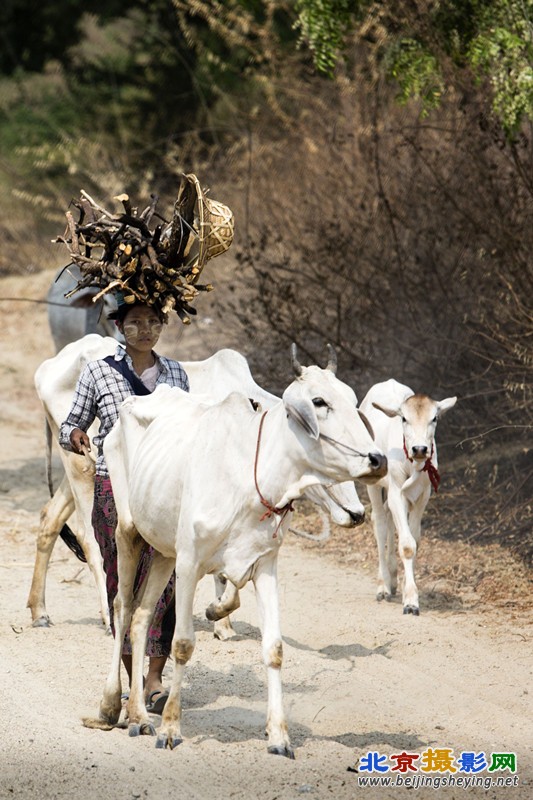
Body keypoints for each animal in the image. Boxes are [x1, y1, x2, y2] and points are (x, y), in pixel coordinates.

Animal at [28, 332, 366, 632]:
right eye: (317, 406)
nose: (357, 513)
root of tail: (49, 366)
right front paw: (219, 616)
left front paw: (222, 622)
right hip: (82, 469)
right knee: (92, 540)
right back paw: (105, 616)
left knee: (50, 519)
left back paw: (39, 611)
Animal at [85, 346, 386, 756]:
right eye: (319, 402)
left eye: (353, 400)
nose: (377, 460)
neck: (249, 476)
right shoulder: (191, 562)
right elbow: (182, 643)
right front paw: (170, 729)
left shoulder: (265, 565)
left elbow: (273, 647)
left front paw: (279, 737)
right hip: (128, 531)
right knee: (123, 607)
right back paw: (110, 705)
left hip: (164, 551)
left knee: (142, 617)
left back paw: (138, 716)